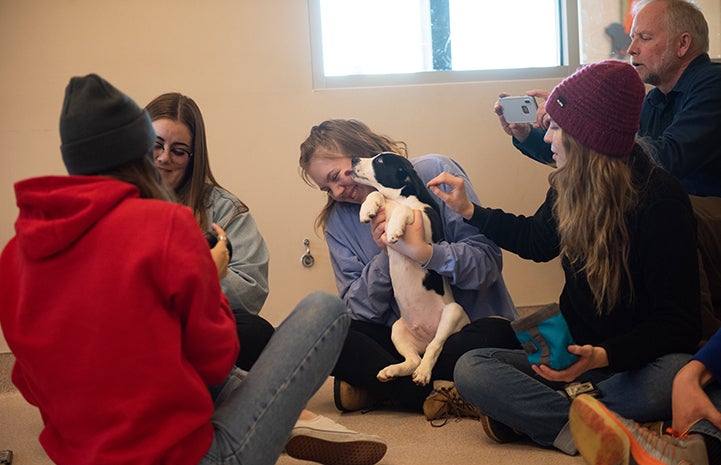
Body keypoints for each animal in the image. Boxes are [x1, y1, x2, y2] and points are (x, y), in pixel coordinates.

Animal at [352, 151, 470, 384]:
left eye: (379, 161)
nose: (352, 160)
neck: (398, 198)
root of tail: (425, 337)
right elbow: (376, 194)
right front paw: (367, 208)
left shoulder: (429, 230)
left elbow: (406, 209)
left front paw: (394, 229)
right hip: (397, 329)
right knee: (413, 359)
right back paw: (392, 371)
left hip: (453, 312)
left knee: (435, 347)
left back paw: (424, 373)